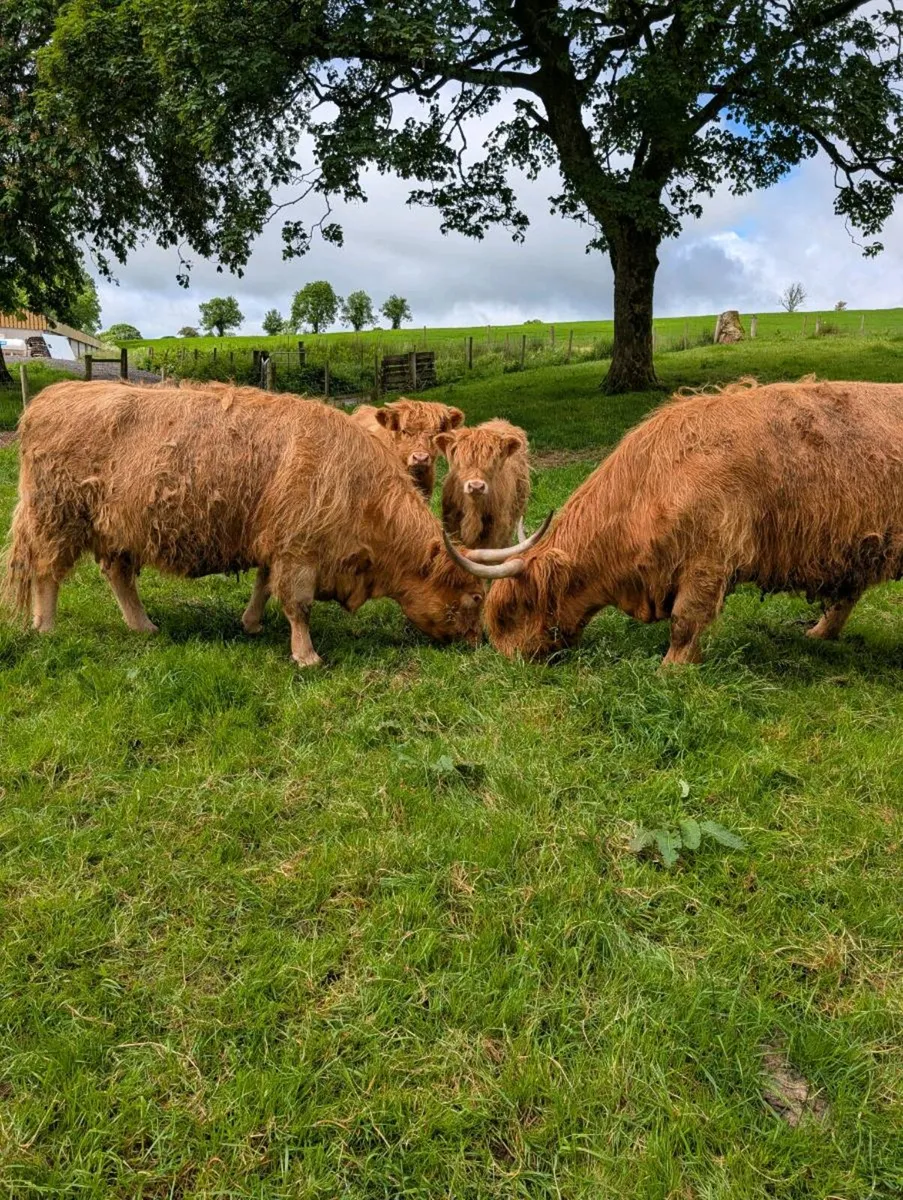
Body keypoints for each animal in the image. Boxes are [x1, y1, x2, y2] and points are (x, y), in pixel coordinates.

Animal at [4, 381, 485, 666]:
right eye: (477, 597)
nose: (479, 642)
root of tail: (46, 397)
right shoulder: (298, 548)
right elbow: (297, 604)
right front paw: (306, 655)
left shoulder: (274, 540)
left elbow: (263, 584)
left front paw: (251, 623)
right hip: (57, 516)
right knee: (47, 572)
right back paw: (46, 627)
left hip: (118, 528)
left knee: (117, 574)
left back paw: (144, 627)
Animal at [435, 419, 531, 549]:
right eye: (460, 463)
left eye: (493, 462)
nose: (476, 486)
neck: (473, 509)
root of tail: (501, 421)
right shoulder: (452, 526)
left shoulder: (496, 530)